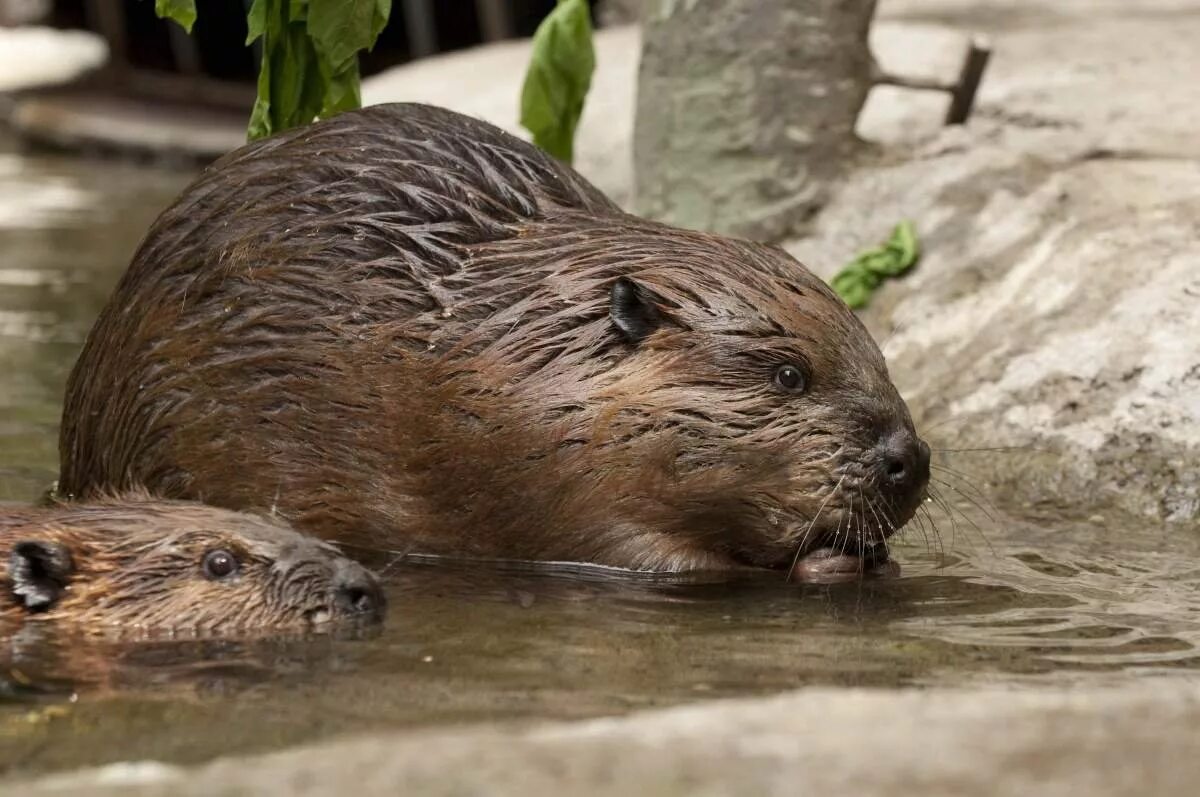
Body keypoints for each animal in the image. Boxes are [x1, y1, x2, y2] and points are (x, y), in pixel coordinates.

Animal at [56, 102, 926, 576]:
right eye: (788, 374)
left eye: (880, 356)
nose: (908, 459)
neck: (522, 342)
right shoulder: (542, 477)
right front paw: (827, 562)